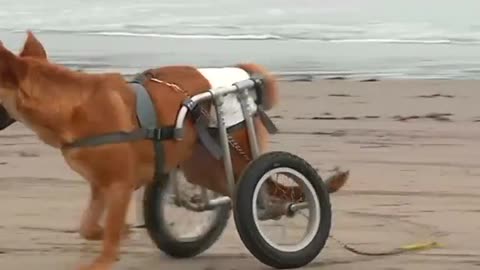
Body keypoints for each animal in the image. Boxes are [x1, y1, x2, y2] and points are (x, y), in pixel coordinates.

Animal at [0, 32, 346, 270]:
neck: (71, 106)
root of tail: (243, 75)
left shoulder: (119, 185)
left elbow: (108, 235)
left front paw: (106, 255)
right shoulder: (101, 186)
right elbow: (89, 227)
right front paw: (123, 231)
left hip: (237, 158)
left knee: (264, 194)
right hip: (204, 166)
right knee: (235, 197)